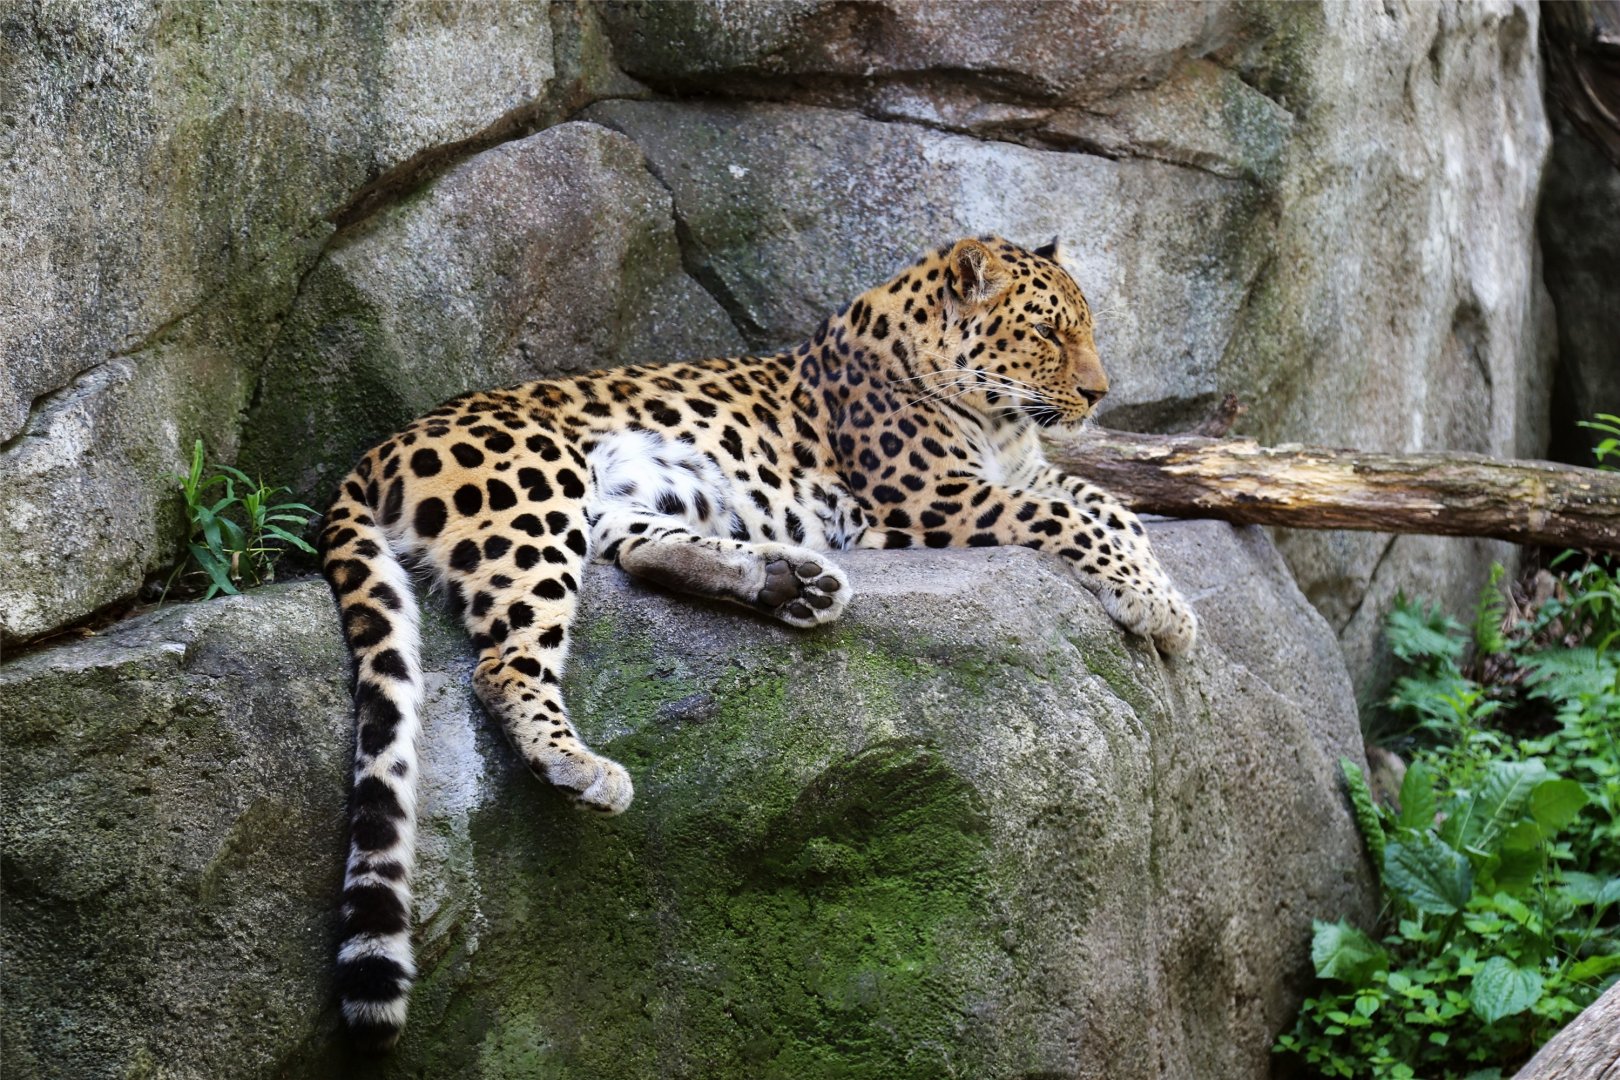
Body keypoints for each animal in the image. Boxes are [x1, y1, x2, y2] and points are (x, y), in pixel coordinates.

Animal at [319, 235, 1198, 1048]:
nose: (1097, 394)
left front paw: (1166, 597)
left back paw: (790, 582)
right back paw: (581, 766)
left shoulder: (1022, 473)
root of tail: (375, 452)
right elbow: (1074, 517)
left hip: (619, 502)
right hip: (535, 494)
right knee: (504, 661)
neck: (997, 421)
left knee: (639, 554)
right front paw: (1157, 605)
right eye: (1048, 332)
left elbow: (1107, 503)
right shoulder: (937, 500)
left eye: (1085, 330)